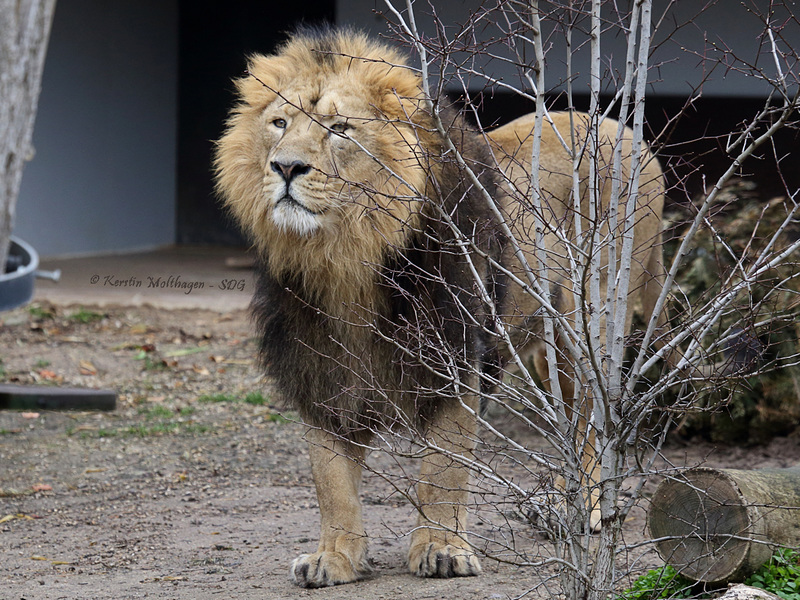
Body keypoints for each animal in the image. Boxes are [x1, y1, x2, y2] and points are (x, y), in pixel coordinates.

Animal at [212, 27, 664, 584]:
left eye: (340, 129)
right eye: (279, 123)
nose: (286, 166)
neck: (345, 260)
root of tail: (629, 134)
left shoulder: (457, 357)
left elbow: (442, 468)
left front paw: (443, 550)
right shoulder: (319, 369)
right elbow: (331, 480)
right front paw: (334, 558)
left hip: (592, 324)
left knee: (592, 422)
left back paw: (584, 510)